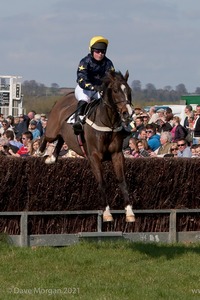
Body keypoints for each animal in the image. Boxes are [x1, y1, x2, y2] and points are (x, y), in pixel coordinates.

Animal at [38, 69, 135, 221]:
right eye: (115, 90)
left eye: (129, 90)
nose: (128, 113)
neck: (107, 123)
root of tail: (64, 97)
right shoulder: (94, 156)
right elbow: (101, 182)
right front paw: (107, 212)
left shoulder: (117, 154)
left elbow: (122, 181)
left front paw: (129, 212)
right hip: (52, 130)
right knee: (46, 136)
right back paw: (40, 151)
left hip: (63, 134)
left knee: (61, 140)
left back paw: (52, 158)